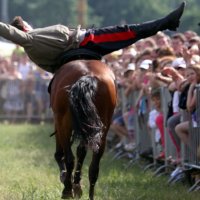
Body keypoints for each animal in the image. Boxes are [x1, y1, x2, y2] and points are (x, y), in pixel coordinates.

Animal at [49, 52, 116, 198]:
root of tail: (88, 76)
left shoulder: (58, 120)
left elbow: (61, 153)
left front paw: (69, 181)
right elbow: (82, 151)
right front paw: (77, 185)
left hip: (63, 122)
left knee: (69, 158)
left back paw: (67, 190)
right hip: (103, 127)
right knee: (94, 167)